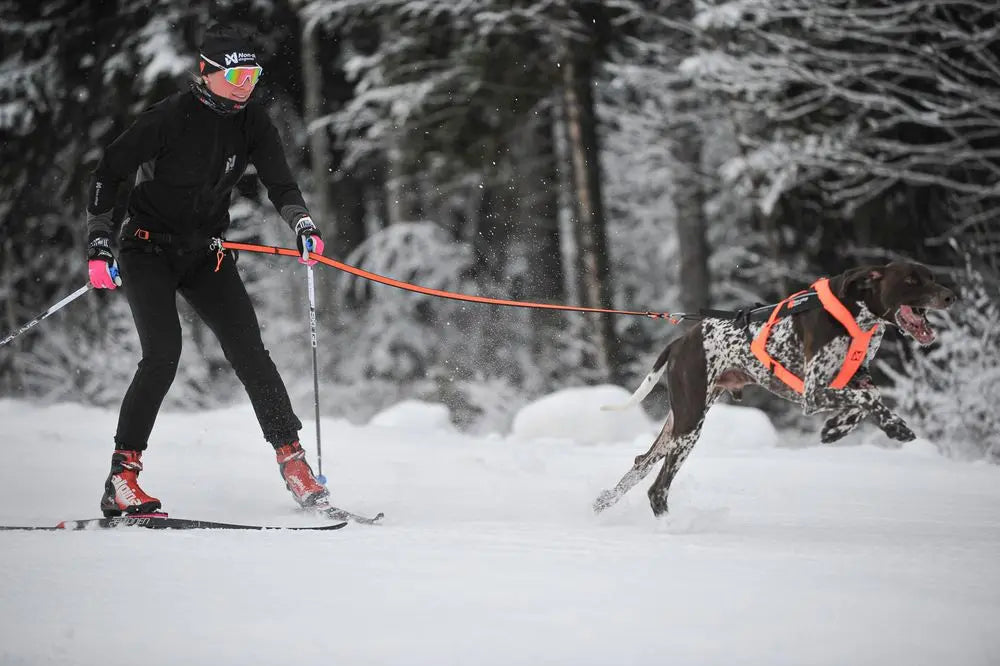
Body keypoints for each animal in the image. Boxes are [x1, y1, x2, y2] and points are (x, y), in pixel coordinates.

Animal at [596, 262, 956, 516]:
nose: (950, 295)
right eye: (911, 280)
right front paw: (895, 426)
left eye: (931, 276)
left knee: (641, 463)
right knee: (657, 489)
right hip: (689, 425)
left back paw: (604, 502)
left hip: (679, 423)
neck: (852, 315)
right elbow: (870, 398)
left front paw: (836, 429)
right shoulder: (814, 392)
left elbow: (865, 401)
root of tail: (680, 341)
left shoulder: (850, 382)